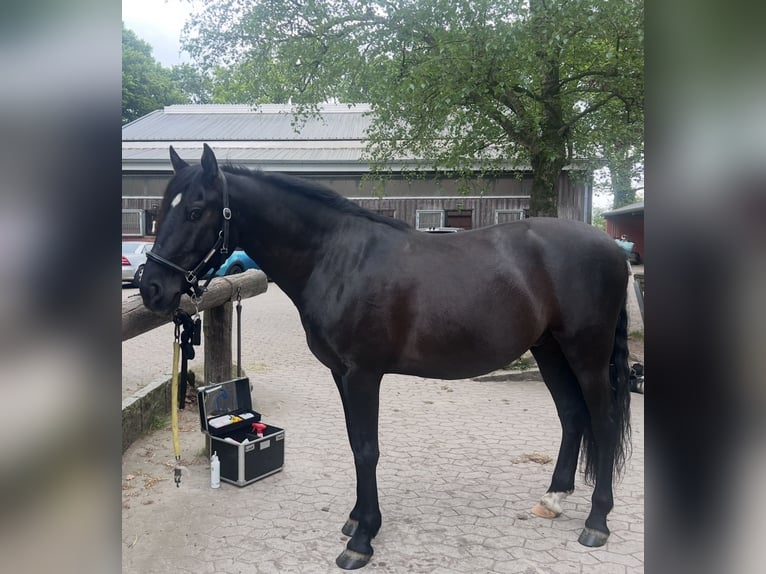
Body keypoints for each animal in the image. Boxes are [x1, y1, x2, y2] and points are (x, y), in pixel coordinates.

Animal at [141, 145, 632, 572]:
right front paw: (357, 520)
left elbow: (366, 449)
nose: (151, 288)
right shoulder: (341, 375)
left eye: (195, 210)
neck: (337, 258)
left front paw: (362, 540)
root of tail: (613, 250)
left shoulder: (363, 374)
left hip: (586, 354)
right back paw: (553, 499)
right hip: (549, 349)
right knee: (572, 415)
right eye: (162, 208)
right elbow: (354, 442)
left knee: (603, 422)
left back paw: (597, 522)